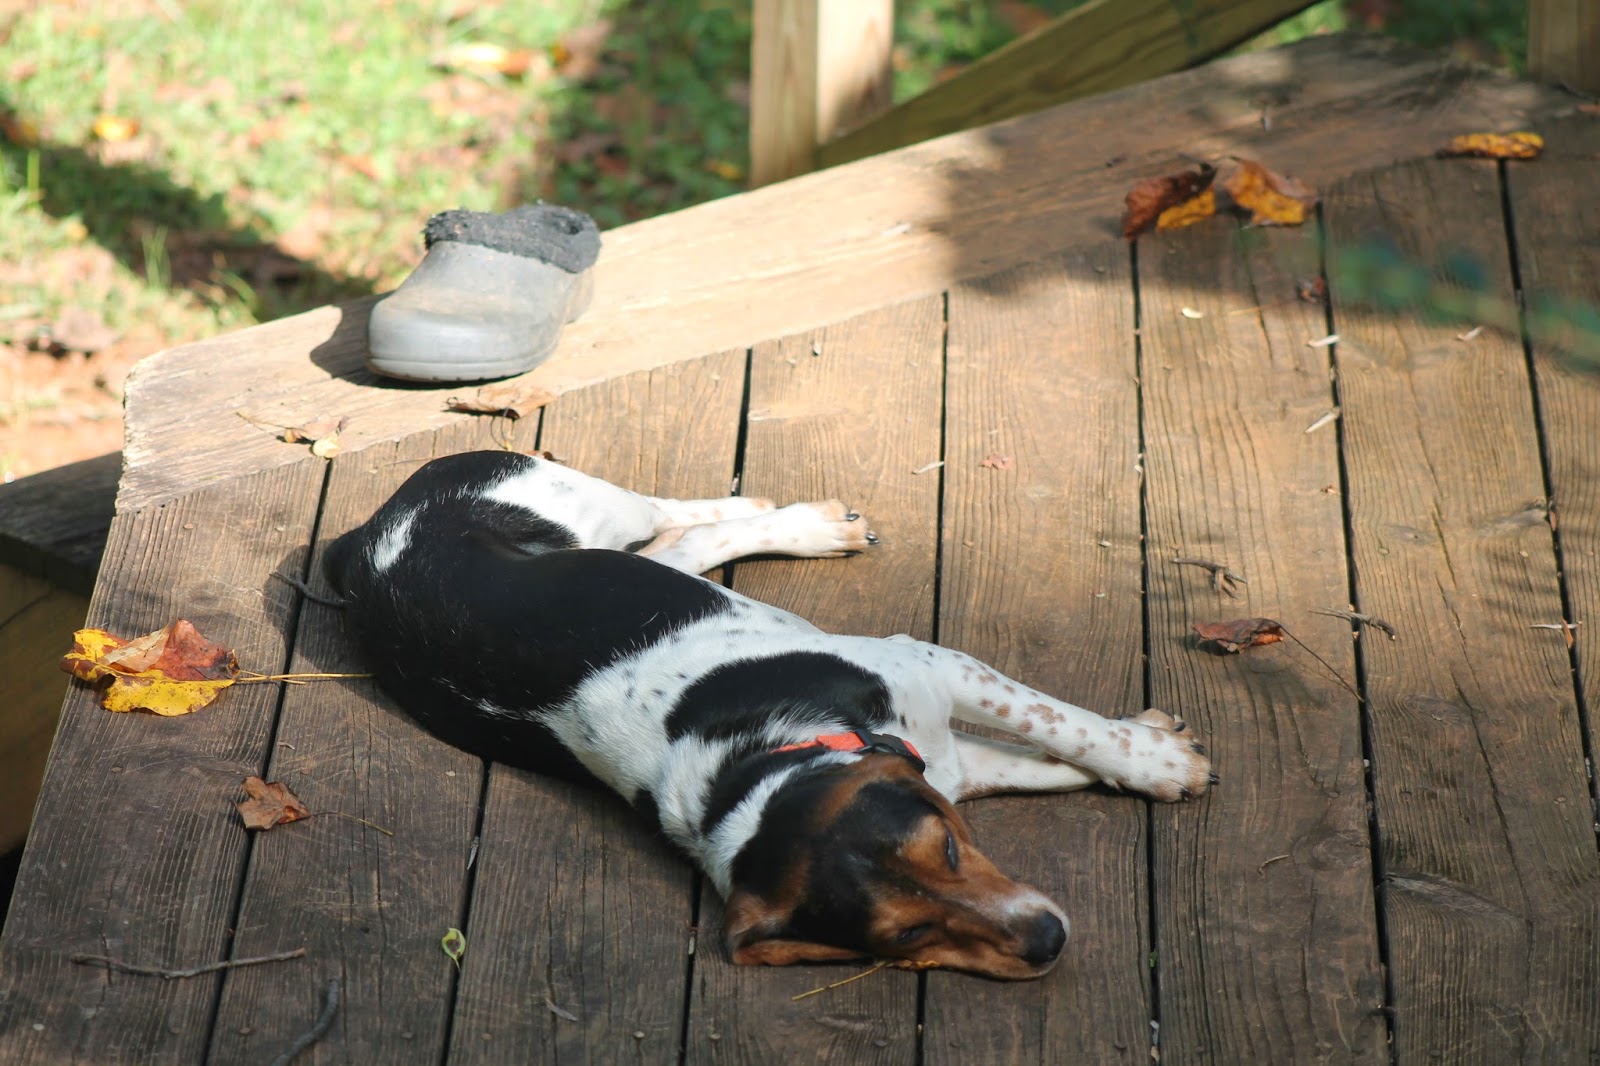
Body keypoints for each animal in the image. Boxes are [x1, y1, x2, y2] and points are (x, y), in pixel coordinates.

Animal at [324, 450, 1214, 979]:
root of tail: (363, 540)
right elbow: (1038, 754)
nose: (1051, 942)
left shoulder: (938, 670)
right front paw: (1152, 759)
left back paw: (789, 514)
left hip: (577, 501)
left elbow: (1061, 727)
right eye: (906, 939)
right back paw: (803, 525)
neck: (750, 769)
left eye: (953, 855)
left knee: (667, 514)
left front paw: (1154, 758)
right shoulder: (938, 738)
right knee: (678, 546)